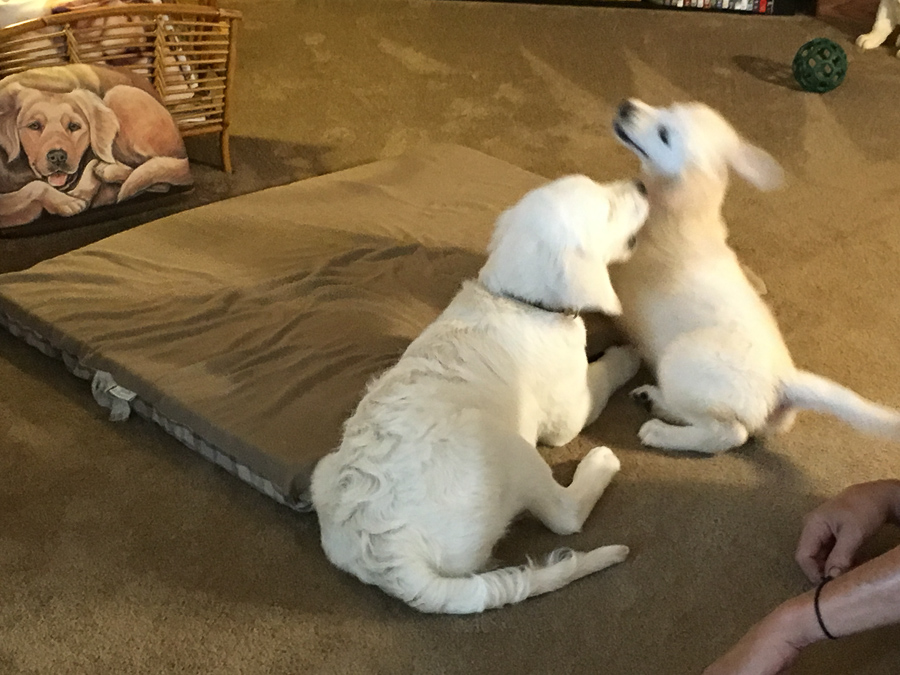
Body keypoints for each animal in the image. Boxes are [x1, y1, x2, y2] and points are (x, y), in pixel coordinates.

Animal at [0, 79, 191, 228]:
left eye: (74, 126)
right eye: (34, 126)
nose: (57, 156)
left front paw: (72, 200)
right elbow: (34, 187)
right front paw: (68, 201)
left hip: (118, 94)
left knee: (156, 179)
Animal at [309, 175, 648, 614]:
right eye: (606, 209)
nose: (642, 184)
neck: (520, 301)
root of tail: (389, 557)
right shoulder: (570, 410)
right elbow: (602, 377)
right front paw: (629, 354)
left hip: (322, 472)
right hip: (504, 444)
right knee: (565, 515)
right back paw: (600, 463)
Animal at [609, 99, 900, 454]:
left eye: (664, 134)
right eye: (667, 107)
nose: (626, 106)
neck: (685, 207)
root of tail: (783, 381)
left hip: (679, 364)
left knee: (728, 433)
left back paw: (661, 430)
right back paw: (654, 400)